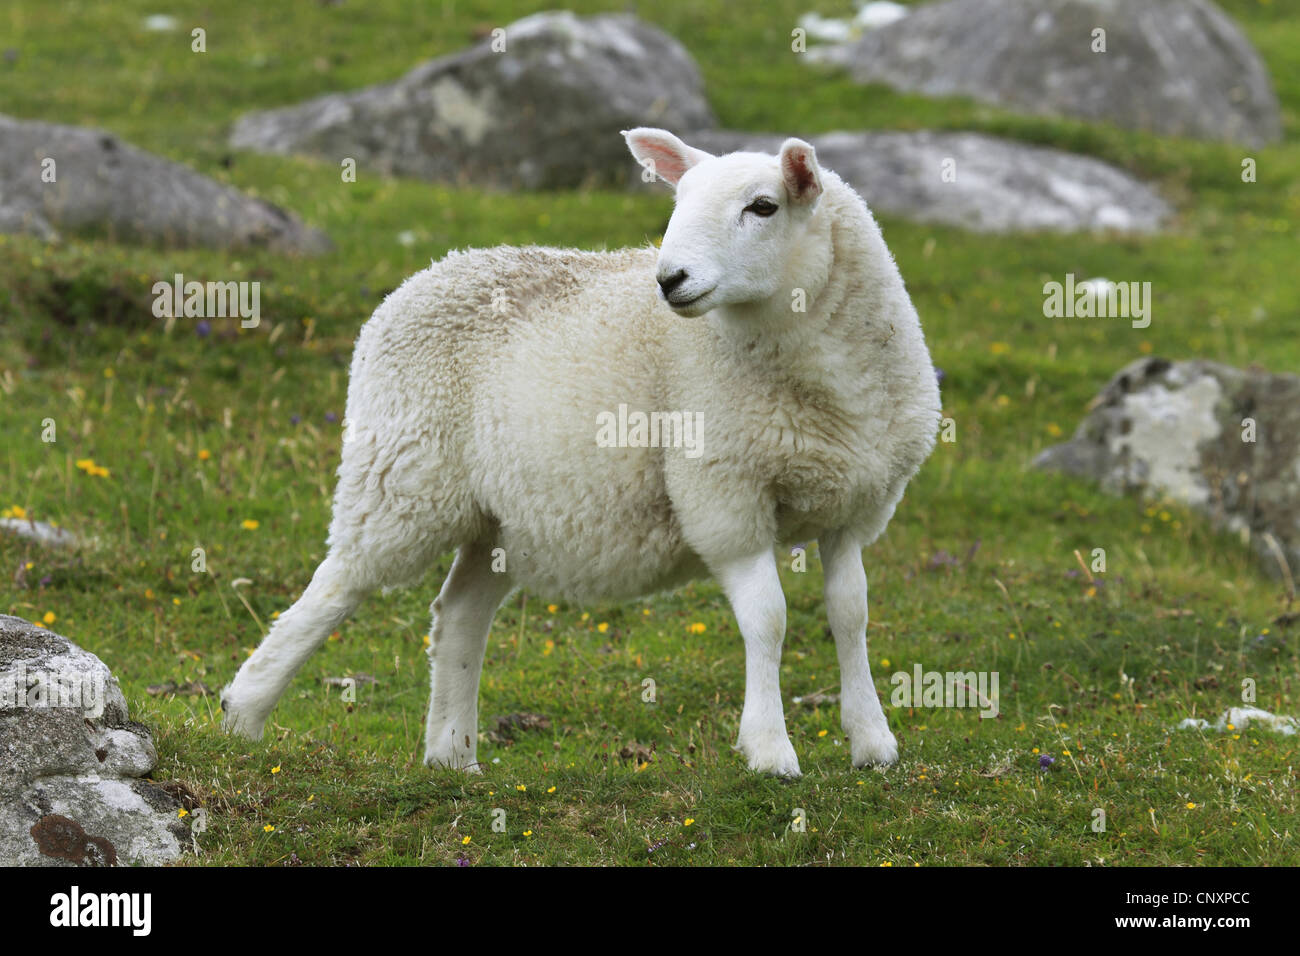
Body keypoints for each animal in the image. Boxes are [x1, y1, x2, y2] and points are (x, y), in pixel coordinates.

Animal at [218, 127, 941, 775]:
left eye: (763, 207)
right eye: (678, 202)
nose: (669, 279)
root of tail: (424, 275)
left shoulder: (856, 506)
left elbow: (852, 614)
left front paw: (872, 743)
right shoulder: (724, 495)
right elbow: (768, 619)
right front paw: (769, 751)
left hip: (503, 518)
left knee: (459, 614)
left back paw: (452, 755)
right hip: (403, 472)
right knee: (338, 583)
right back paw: (244, 712)